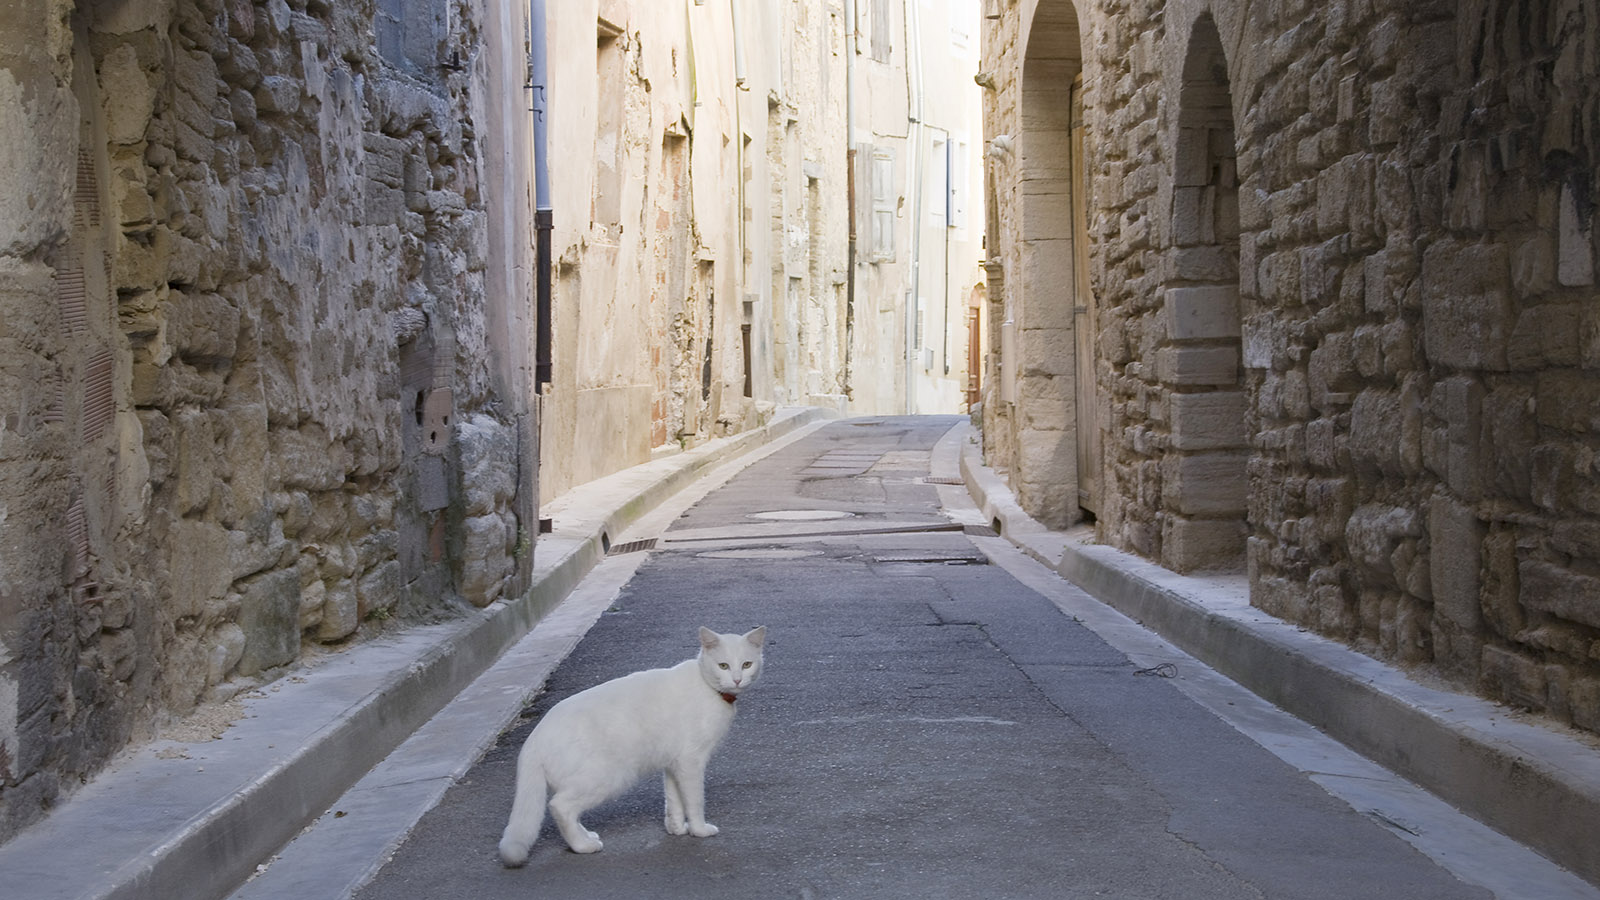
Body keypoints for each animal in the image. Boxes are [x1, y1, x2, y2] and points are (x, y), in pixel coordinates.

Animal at [502, 624, 771, 864]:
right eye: (723, 665)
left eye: (746, 664)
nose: (737, 680)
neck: (710, 690)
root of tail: (534, 738)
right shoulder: (691, 762)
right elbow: (694, 801)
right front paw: (699, 830)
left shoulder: (673, 764)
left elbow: (674, 800)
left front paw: (676, 828)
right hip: (608, 776)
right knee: (560, 806)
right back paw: (583, 846)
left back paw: (586, 836)